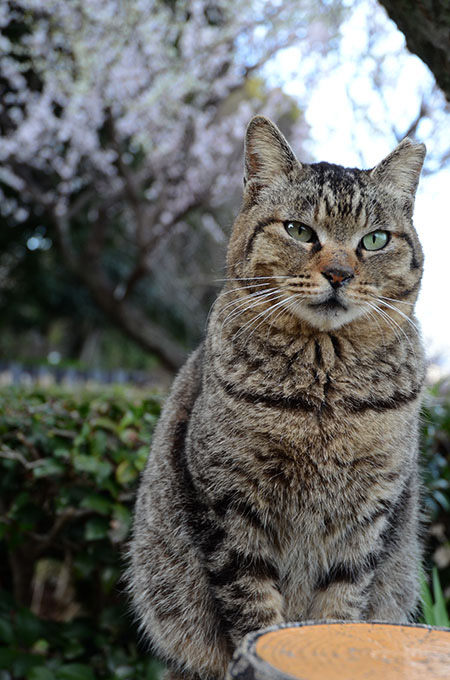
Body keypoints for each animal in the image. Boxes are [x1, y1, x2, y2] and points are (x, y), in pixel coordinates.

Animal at [128, 117, 428, 680]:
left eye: (375, 240)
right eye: (299, 231)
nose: (339, 274)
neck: (325, 389)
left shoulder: (367, 516)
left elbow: (339, 609)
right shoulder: (230, 502)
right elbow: (255, 613)